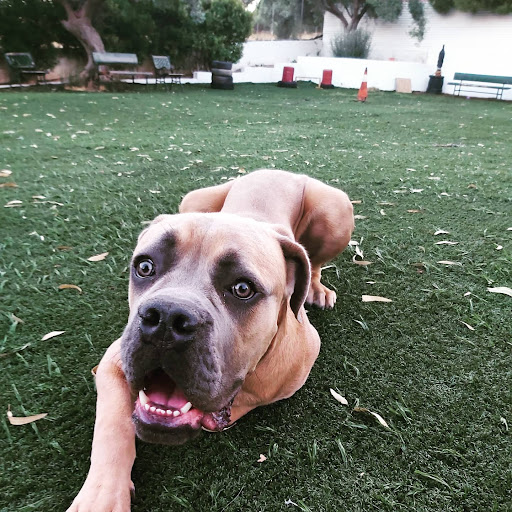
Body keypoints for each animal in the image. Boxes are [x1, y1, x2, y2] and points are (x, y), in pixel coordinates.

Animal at [67, 169, 354, 511]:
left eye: (243, 289)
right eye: (145, 266)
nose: (166, 319)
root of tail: (281, 171)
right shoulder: (113, 363)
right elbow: (112, 425)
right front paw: (102, 495)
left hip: (334, 210)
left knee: (316, 262)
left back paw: (316, 287)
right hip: (194, 200)